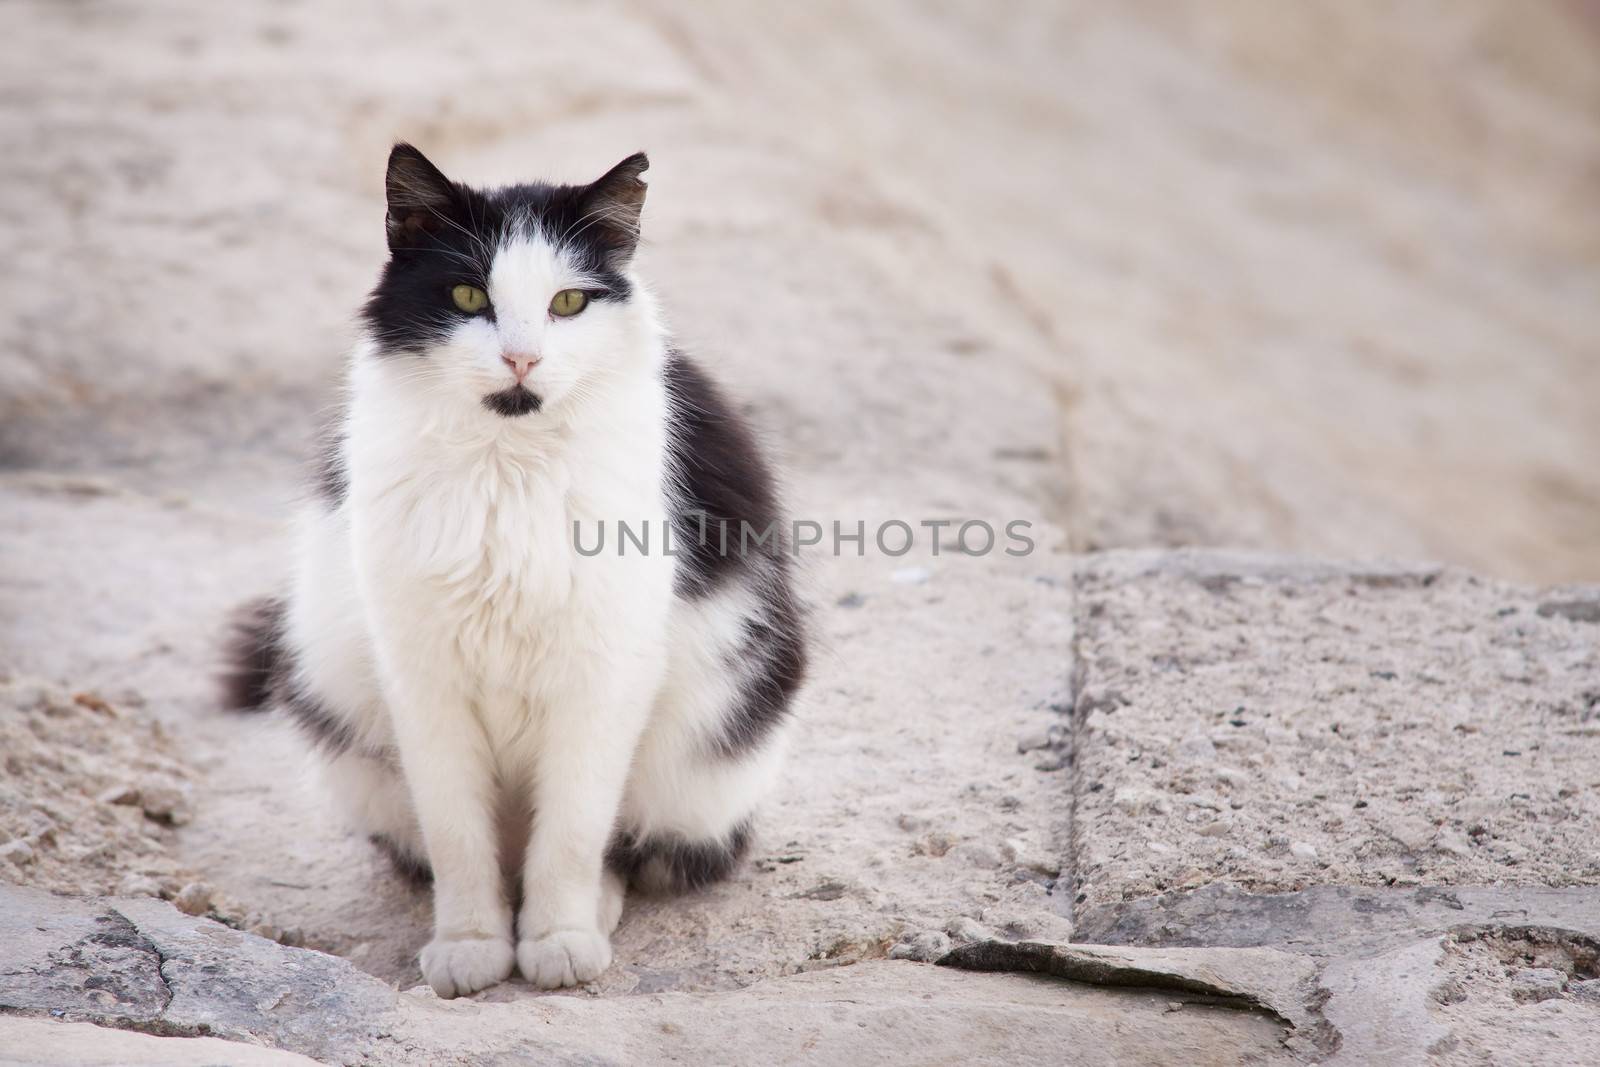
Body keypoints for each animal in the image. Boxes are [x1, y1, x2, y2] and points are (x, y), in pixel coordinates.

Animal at [219, 146, 806, 998]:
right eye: (469, 295)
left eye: (568, 303)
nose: (522, 357)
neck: (508, 467)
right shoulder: (422, 678)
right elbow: (458, 836)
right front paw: (470, 943)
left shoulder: (605, 673)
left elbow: (573, 832)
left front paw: (557, 938)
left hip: (702, 752)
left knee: (628, 845)